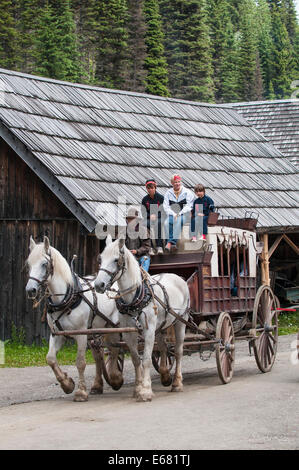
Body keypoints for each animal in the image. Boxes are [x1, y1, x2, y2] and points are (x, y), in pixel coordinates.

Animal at [25, 237, 123, 402]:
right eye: (29, 264)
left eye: (44, 264)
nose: (30, 289)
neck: (66, 298)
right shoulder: (57, 334)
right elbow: (50, 358)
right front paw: (67, 384)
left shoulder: (81, 334)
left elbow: (80, 362)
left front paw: (81, 392)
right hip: (95, 332)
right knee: (99, 355)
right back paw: (97, 385)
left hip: (114, 326)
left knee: (114, 350)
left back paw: (116, 378)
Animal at [95, 237, 191, 402]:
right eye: (100, 259)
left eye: (116, 260)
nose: (98, 285)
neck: (134, 297)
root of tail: (179, 278)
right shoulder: (129, 332)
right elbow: (135, 359)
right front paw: (137, 389)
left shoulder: (148, 330)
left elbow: (145, 359)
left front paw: (146, 390)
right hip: (161, 326)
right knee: (164, 347)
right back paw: (165, 375)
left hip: (180, 321)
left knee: (178, 351)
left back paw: (177, 383)